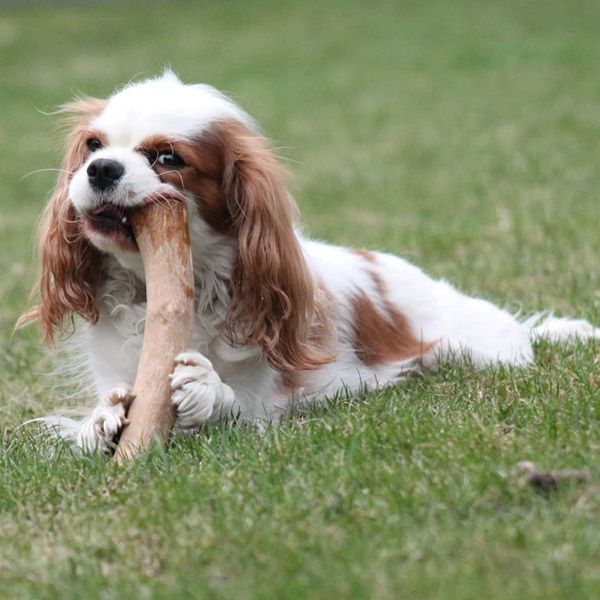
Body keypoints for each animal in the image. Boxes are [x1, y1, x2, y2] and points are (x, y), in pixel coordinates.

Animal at [18, 71, 600, 454]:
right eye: (92, 146)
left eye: (167, 158)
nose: (101, 169)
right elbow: (101, 411)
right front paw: (102, 420)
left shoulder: (274, 397)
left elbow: (240, 403)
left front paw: (209, 390)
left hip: (484, 347)